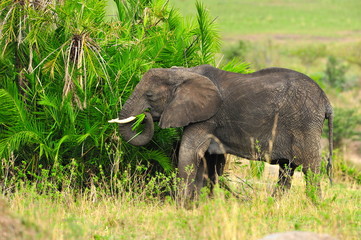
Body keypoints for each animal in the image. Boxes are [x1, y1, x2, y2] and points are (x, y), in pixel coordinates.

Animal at [109, 64, 332, 200]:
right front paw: (201, 204)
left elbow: (189, 153)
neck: (185, 72)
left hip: (305, 123)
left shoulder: (207, 116)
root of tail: (326, 101)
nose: (145, 115)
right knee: (287, 169)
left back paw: (316, 205)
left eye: (150, 95)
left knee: (310, 169)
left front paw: (181, 206)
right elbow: (208, 161)